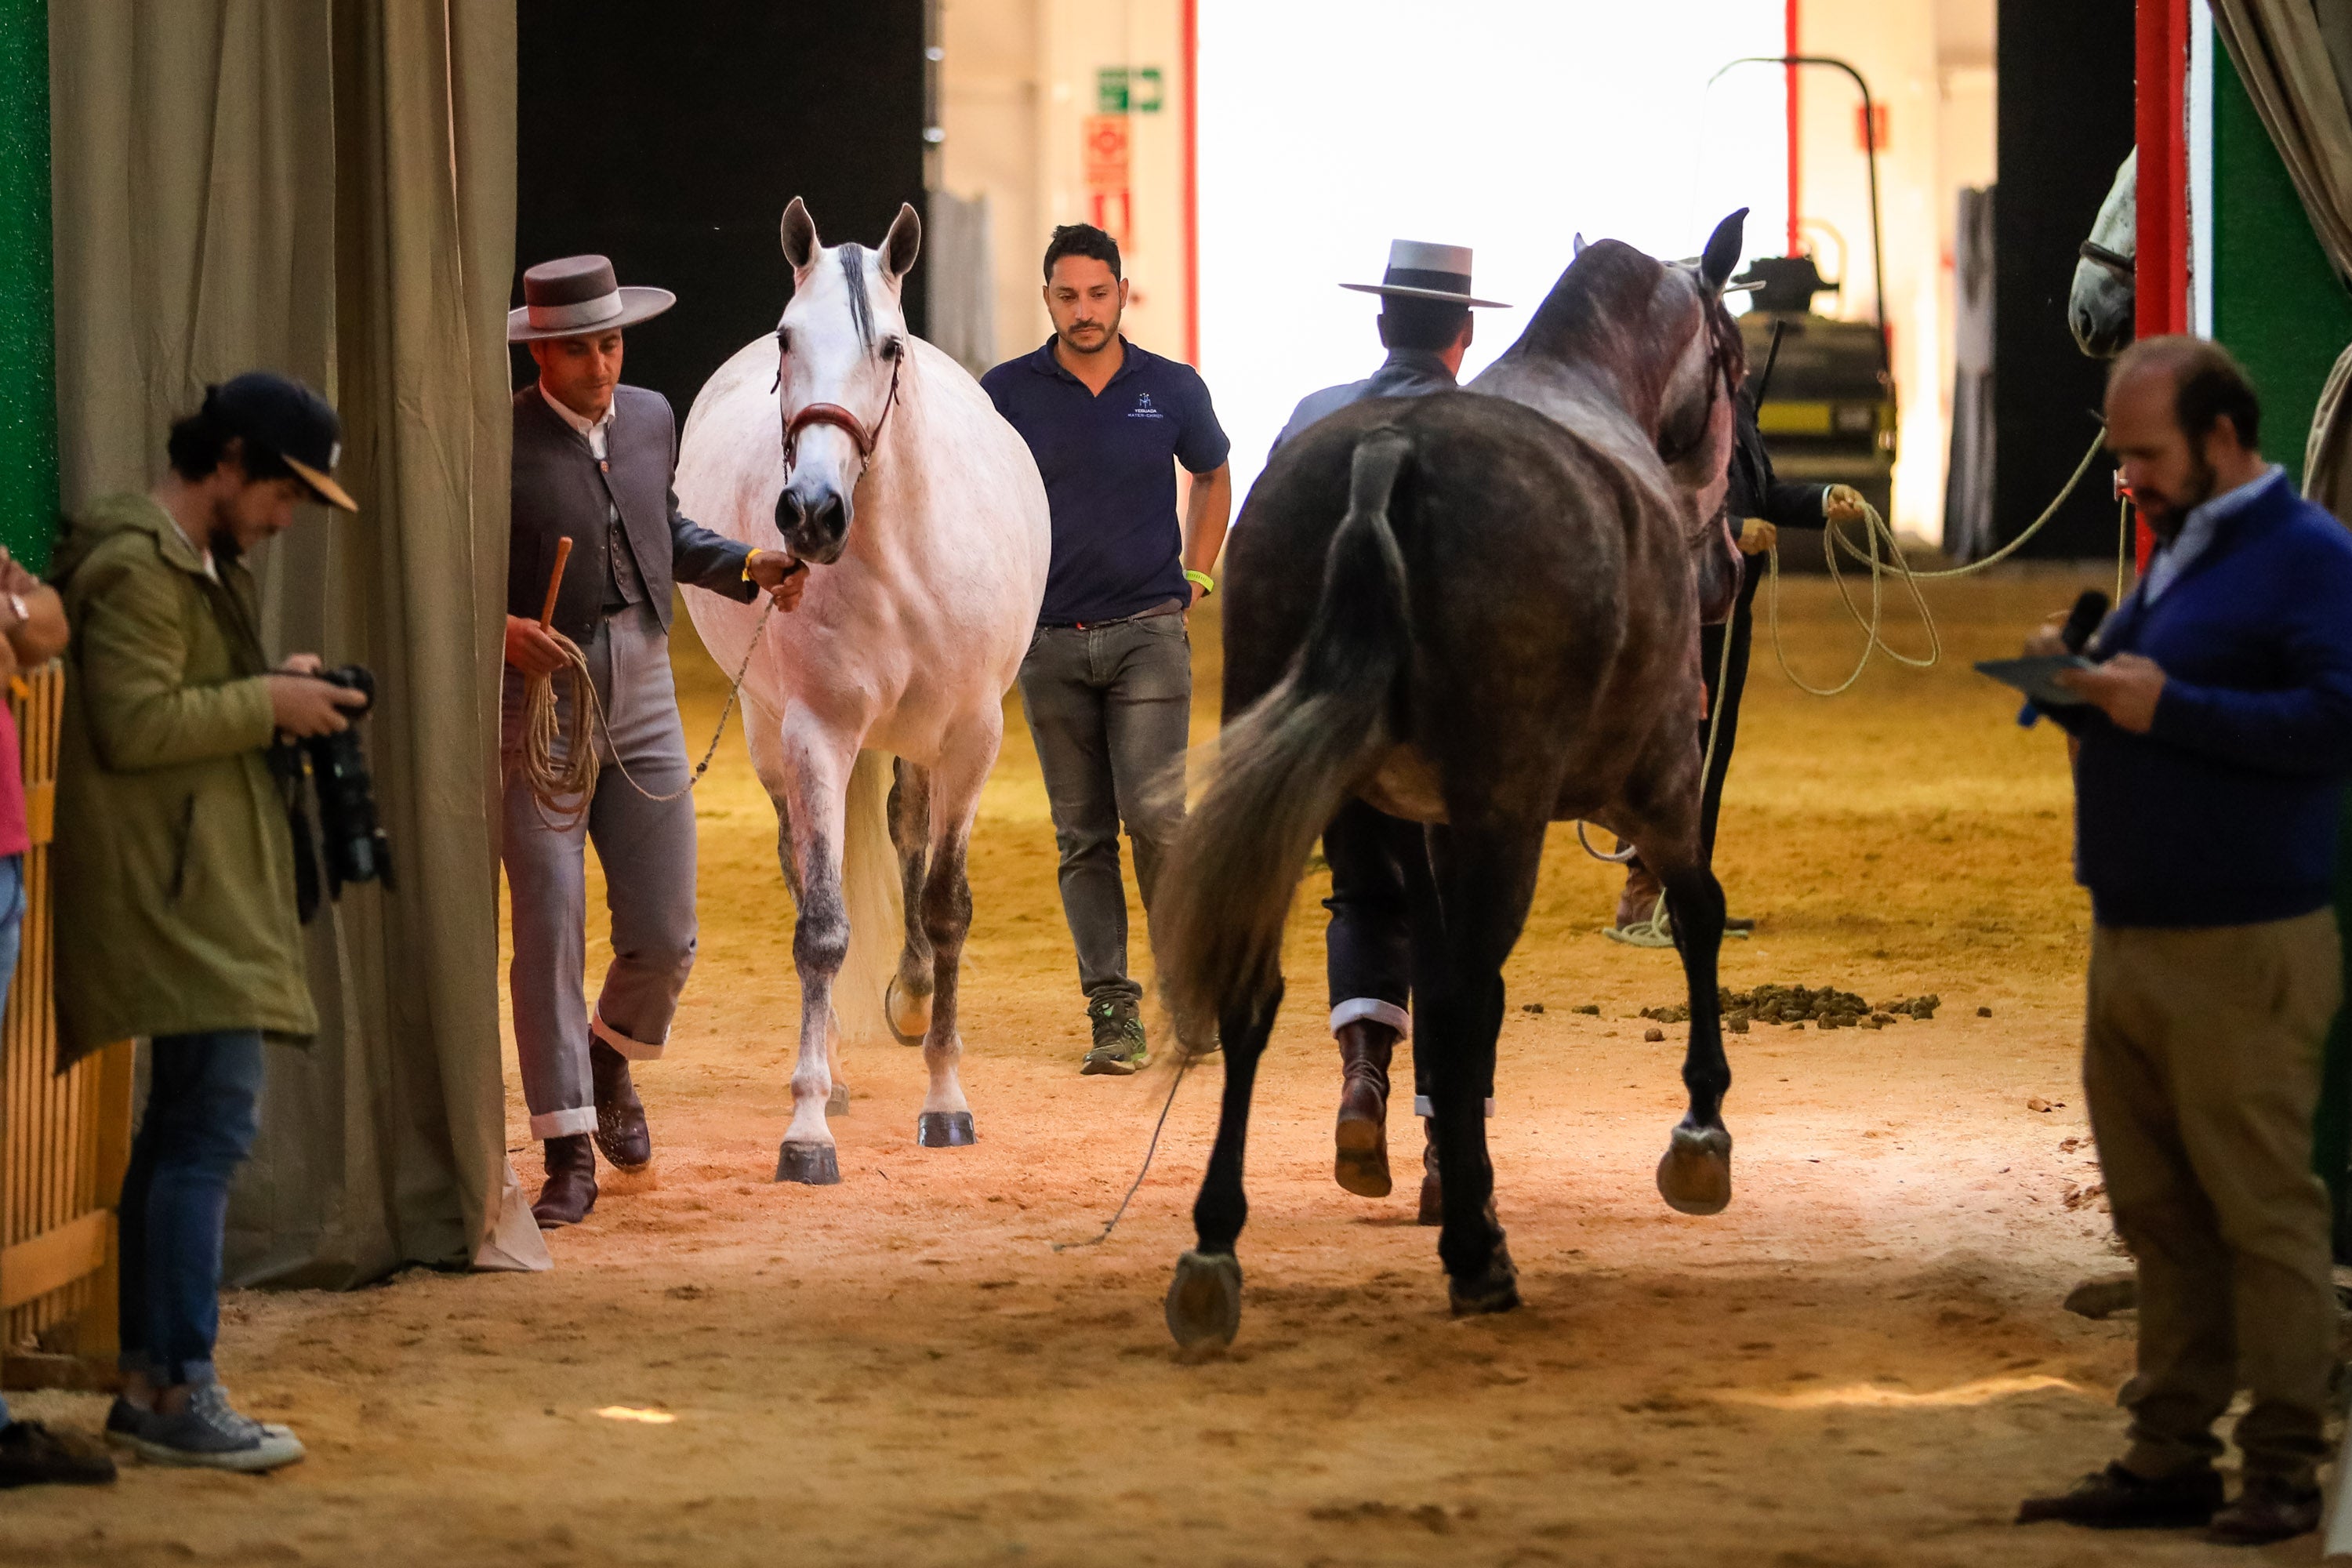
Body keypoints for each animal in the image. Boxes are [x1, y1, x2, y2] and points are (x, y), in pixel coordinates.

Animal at [682, 196, 1049, 1185]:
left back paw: (914, 998)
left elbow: (948, 906)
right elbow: (821, 923)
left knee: (908, 831)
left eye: (889, 346)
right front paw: (810, 1124)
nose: (810, 512)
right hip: (772, 732)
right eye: (785, 337)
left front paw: (947, 1101)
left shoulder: (971, 739)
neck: (901, 560)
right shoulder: (817, 731)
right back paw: (840, 1071)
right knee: (802, 860)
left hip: (918, 742)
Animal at [1148, 215, 1759, 1354]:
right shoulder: (1656, 778)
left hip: (1299, 801)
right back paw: (1478, 1252)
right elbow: (1697, 914)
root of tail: (1389, 451)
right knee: (1471, 995)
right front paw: (1700, 1133)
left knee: (1269, 990)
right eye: (1733, 363)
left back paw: (1217, 1245)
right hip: (1509, 816)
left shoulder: (1428, 826)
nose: (1729, 573)